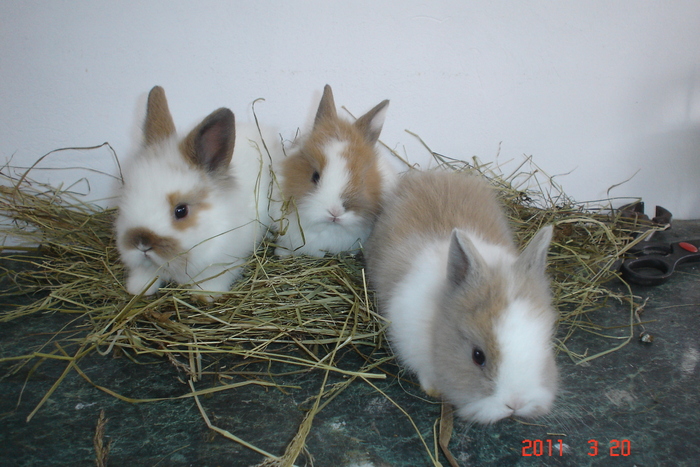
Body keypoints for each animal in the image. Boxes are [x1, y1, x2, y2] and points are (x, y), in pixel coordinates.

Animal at [115, 86, 282, 302]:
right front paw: (137, 289)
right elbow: (145, 275)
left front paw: (203, 295)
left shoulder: (223, 263)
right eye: (126, 198)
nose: (142, 243)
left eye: (181, 211)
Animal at [366, 171, 556, 424]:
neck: (437, 322)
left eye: (545, 345)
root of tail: (434, 175)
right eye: (478, 356)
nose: (515, 404)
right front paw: (433, 389)